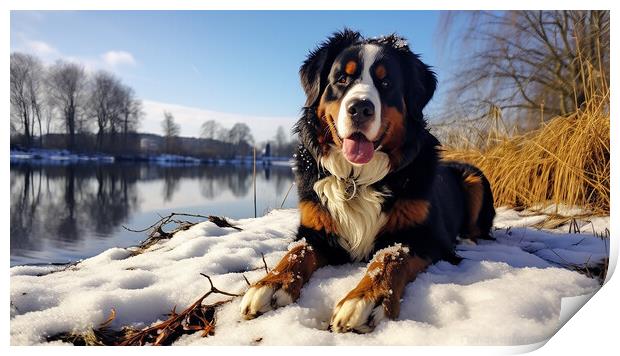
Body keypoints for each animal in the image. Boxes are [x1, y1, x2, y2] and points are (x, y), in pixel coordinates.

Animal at [237, 29, 494, 334]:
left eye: (386, 82)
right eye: (342, 79)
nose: (360, 108)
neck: (356, 178)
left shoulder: (426, 237)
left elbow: (390, 256)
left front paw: (367, 298)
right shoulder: (316, 229)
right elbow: (297, 252)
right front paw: (272, 283)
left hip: (474, 177)